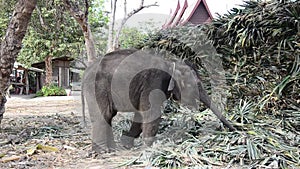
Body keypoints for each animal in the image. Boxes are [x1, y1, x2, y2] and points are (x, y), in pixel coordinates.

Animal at [81, 48, 234, 153]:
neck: (171, 63)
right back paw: (103, 151)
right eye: (194, 85)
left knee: (108, 116)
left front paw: (127, 142)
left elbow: (140, 113)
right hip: (97, 87)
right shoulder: (153, 82)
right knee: (104, 114)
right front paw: (149, 147)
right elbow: (151, 113)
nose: (235, 130)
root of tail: (86, 71)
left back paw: (112, 148)